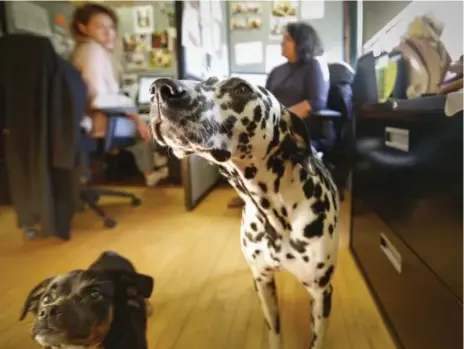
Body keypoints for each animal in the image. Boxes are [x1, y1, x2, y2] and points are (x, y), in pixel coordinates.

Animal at [150, 77, 338, 348]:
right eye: (207, 80)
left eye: (242, 88)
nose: (160, 88)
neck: (275, 216)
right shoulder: (263, 283)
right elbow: (274, 332)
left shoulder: (321, 294)